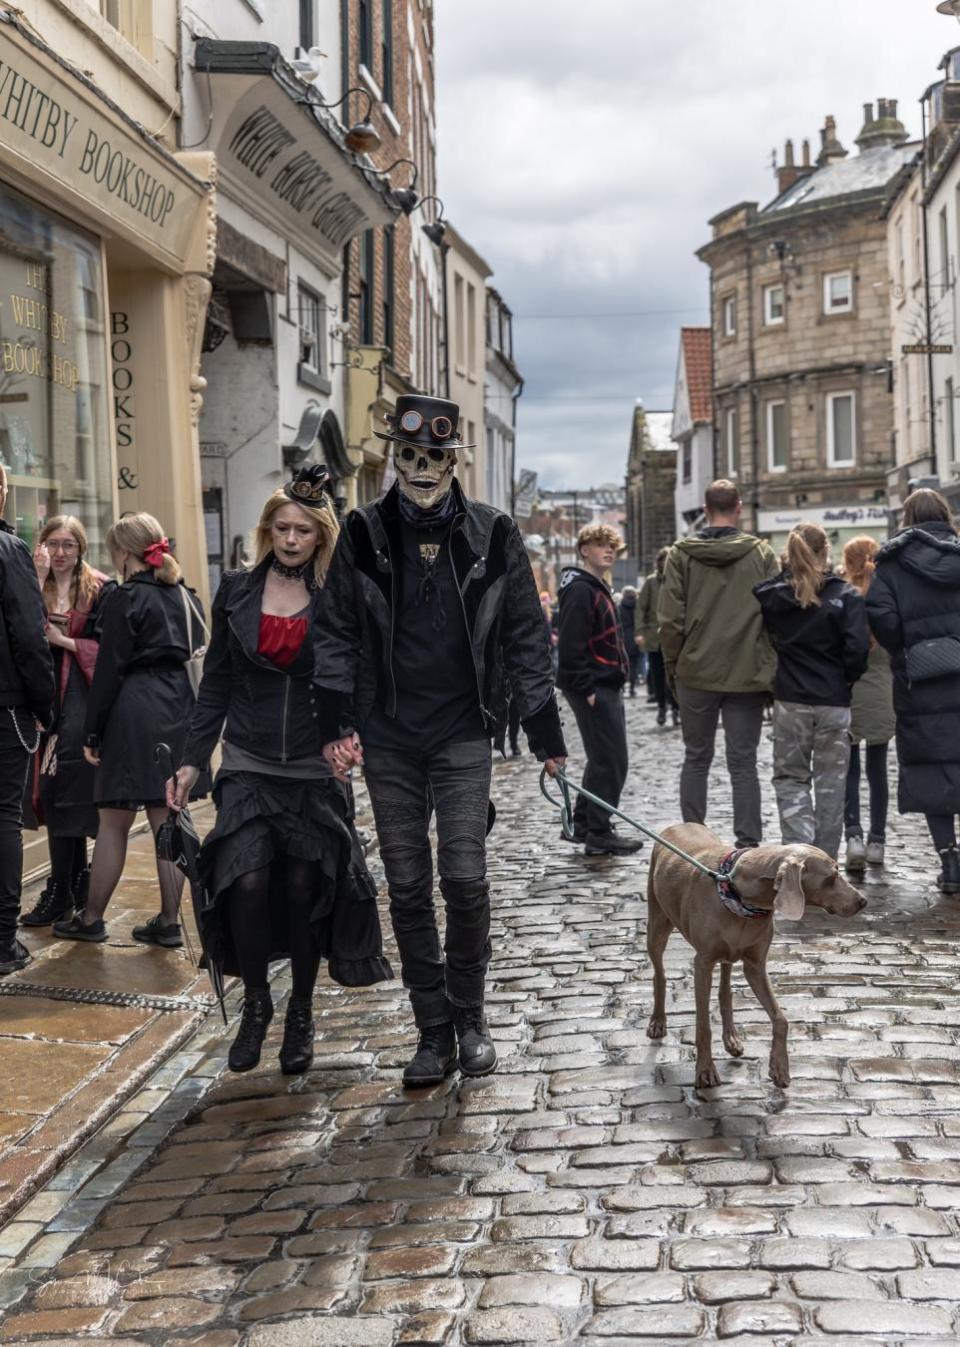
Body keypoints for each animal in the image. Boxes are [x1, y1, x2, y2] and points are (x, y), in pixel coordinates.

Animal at [648, 818, 867, 1093]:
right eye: (832, 876)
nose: (863, 901)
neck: (739, 895)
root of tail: (680, 823)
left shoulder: (755, 965)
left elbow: (781, 1019)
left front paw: (779, 1068)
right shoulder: (703, 963)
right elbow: (703, 1026)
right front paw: (705, 1071)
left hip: (728, 954)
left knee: (725, 992)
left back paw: (731, 1038)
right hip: (657, 925)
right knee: (659, 974)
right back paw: (658, 1022)